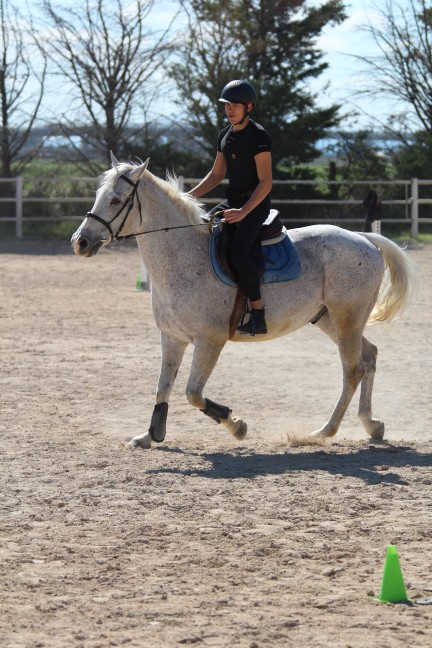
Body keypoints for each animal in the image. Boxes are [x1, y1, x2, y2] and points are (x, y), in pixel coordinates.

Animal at [71, 154, 419, 449]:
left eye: (115, 200)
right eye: (99, 196)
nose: (80, 242)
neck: (182, 257)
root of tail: (364, 239)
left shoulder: (209, 341)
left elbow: (193, 393)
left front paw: (236, 425)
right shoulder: (171, 338)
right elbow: (163, 386)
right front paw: (150, 434)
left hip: (347, 321)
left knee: (352, 370)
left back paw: (323, 432)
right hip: (330, 320)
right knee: (369, 356)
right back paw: (372, 425)